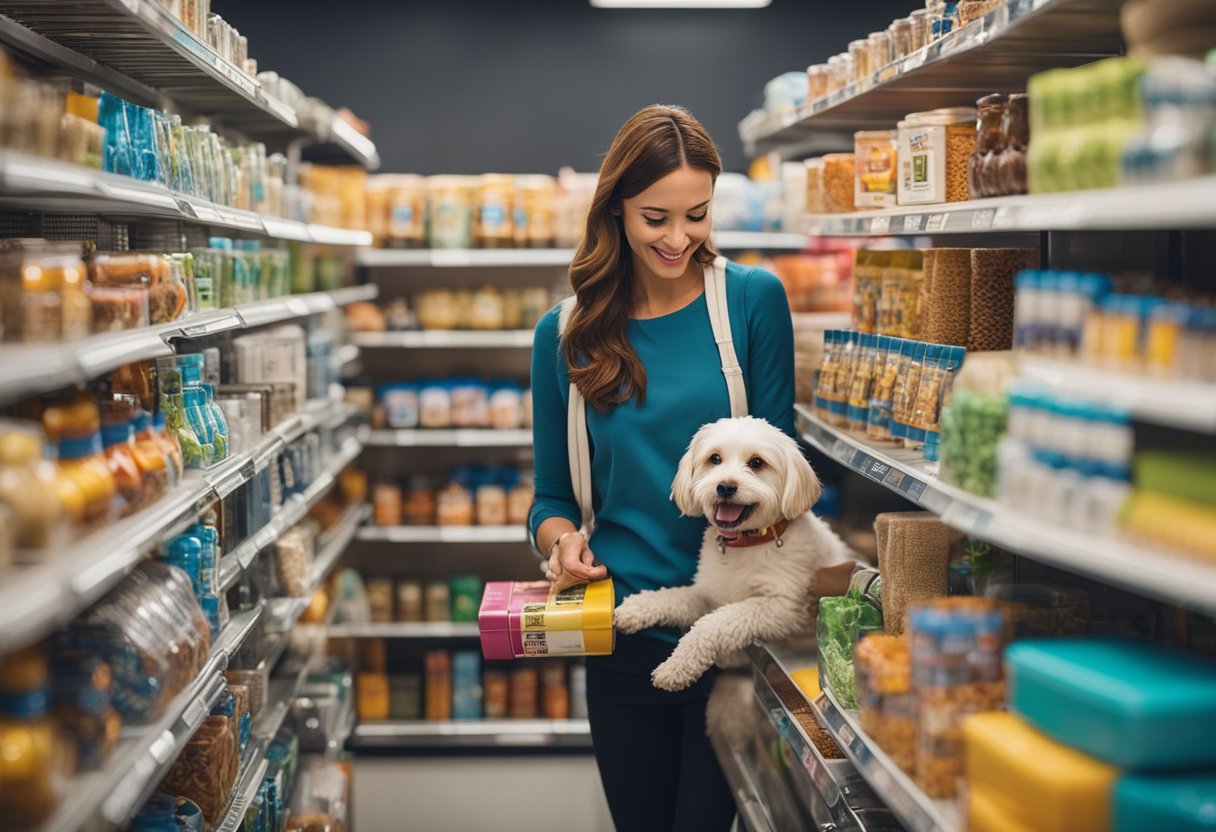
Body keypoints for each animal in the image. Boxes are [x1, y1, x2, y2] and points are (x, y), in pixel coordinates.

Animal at [612, 413, 851, 690]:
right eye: (714, 459)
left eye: (757, 462)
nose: (725, 487)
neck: (747, 544)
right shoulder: (709, 593)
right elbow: (675, 597)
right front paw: (638, 606)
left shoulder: (784, 609)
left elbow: (712, 623)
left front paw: (676, 667)